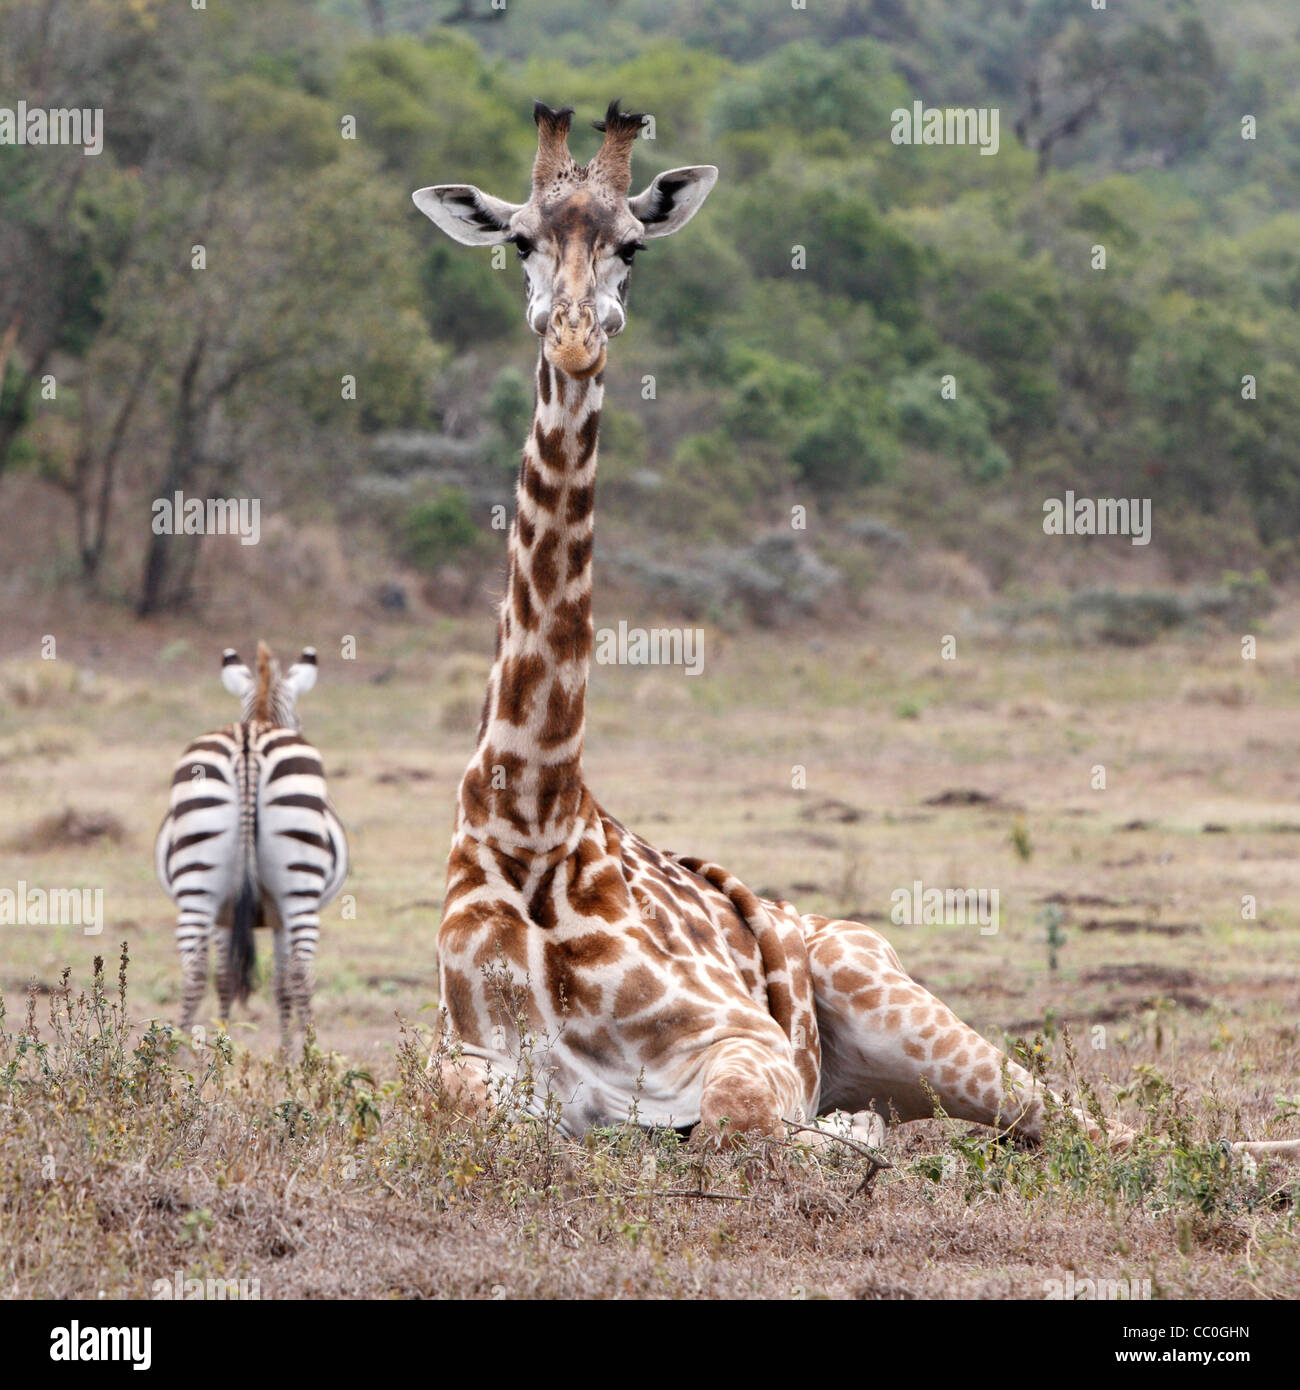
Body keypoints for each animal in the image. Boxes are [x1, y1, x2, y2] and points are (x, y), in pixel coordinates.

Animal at [155, 644, 347, 1045]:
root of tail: (248, 742)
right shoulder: (274, 917)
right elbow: (281, 984)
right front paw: (284, 1053)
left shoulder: (224, 915)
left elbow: (225, 978)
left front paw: (220, 1046)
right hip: (298, 891)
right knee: (301, 974)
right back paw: (309, 1057)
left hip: (197, 881)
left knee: (193, 972)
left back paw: (176, 1058)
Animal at [411, 100, 1295, 1162]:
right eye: (520, 240)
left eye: (633, 244)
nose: (579, 338)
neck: (530, 824)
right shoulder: (457, 1065)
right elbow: (472, 1115)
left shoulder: (742, 1040)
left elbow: (741, 1120)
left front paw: (841, 1141)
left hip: (899, 1005)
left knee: (1113, 1133)